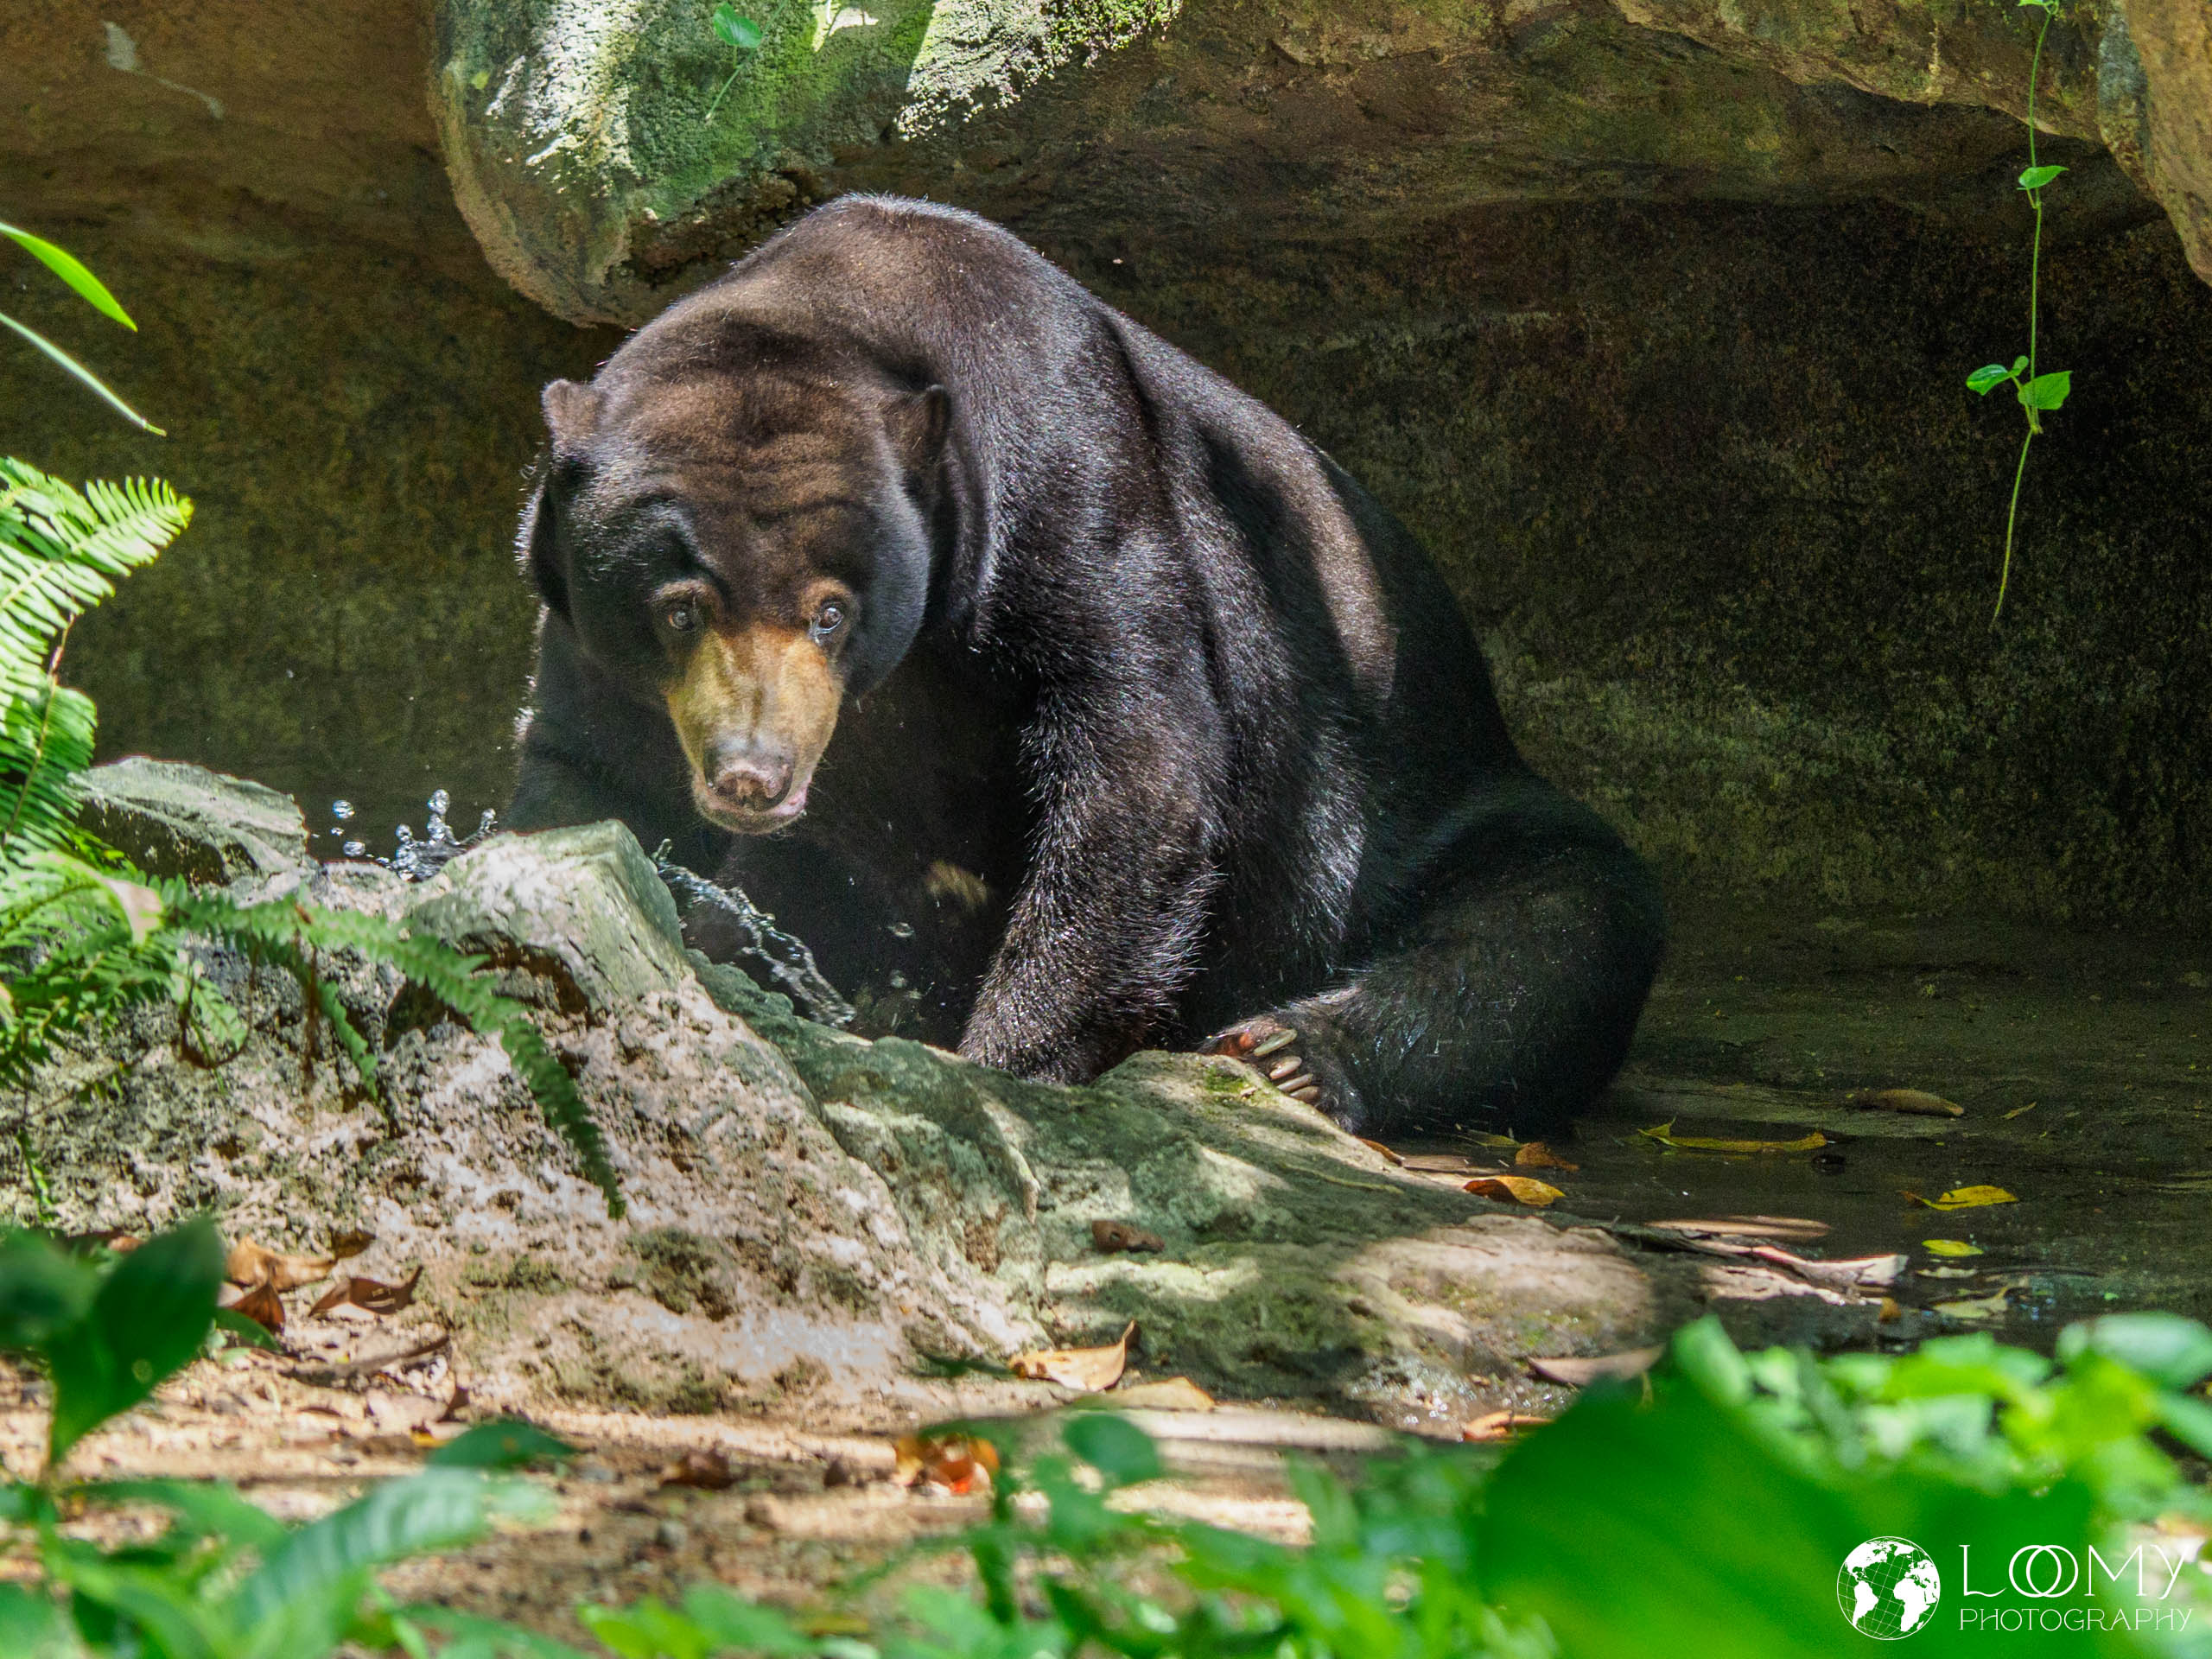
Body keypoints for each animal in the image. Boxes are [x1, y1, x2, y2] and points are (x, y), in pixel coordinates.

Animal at [506, 195, 1665, 1140]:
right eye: (679, 608)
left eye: (831, 613)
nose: (754, 774)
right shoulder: (585, 633)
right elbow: (593, 773)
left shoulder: (1070, 487)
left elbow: (1135, 762)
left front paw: (1003, 1067)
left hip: (1442, 808)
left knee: (1551, 933)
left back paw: (1288, 1052)